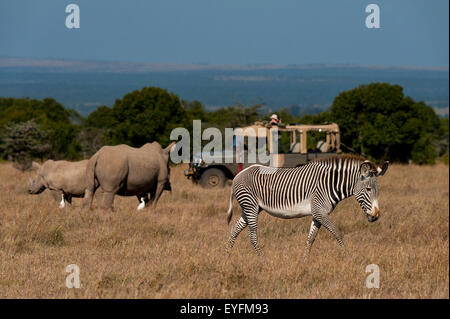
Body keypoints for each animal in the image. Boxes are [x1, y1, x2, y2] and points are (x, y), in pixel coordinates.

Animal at [227, 156, 388, 258]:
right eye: (368, 189)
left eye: (378, 190)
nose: (376, 216)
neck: (329, 184)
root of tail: (238, 174)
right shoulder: (319, 211)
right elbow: (337, 233)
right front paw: (346, 255)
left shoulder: (317, 214)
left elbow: (311, 238)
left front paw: (304, 260)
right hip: (251, 206)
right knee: (252, 235)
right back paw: (261, 259)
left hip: (249, 208)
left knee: (234, 230)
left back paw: (226, 256)